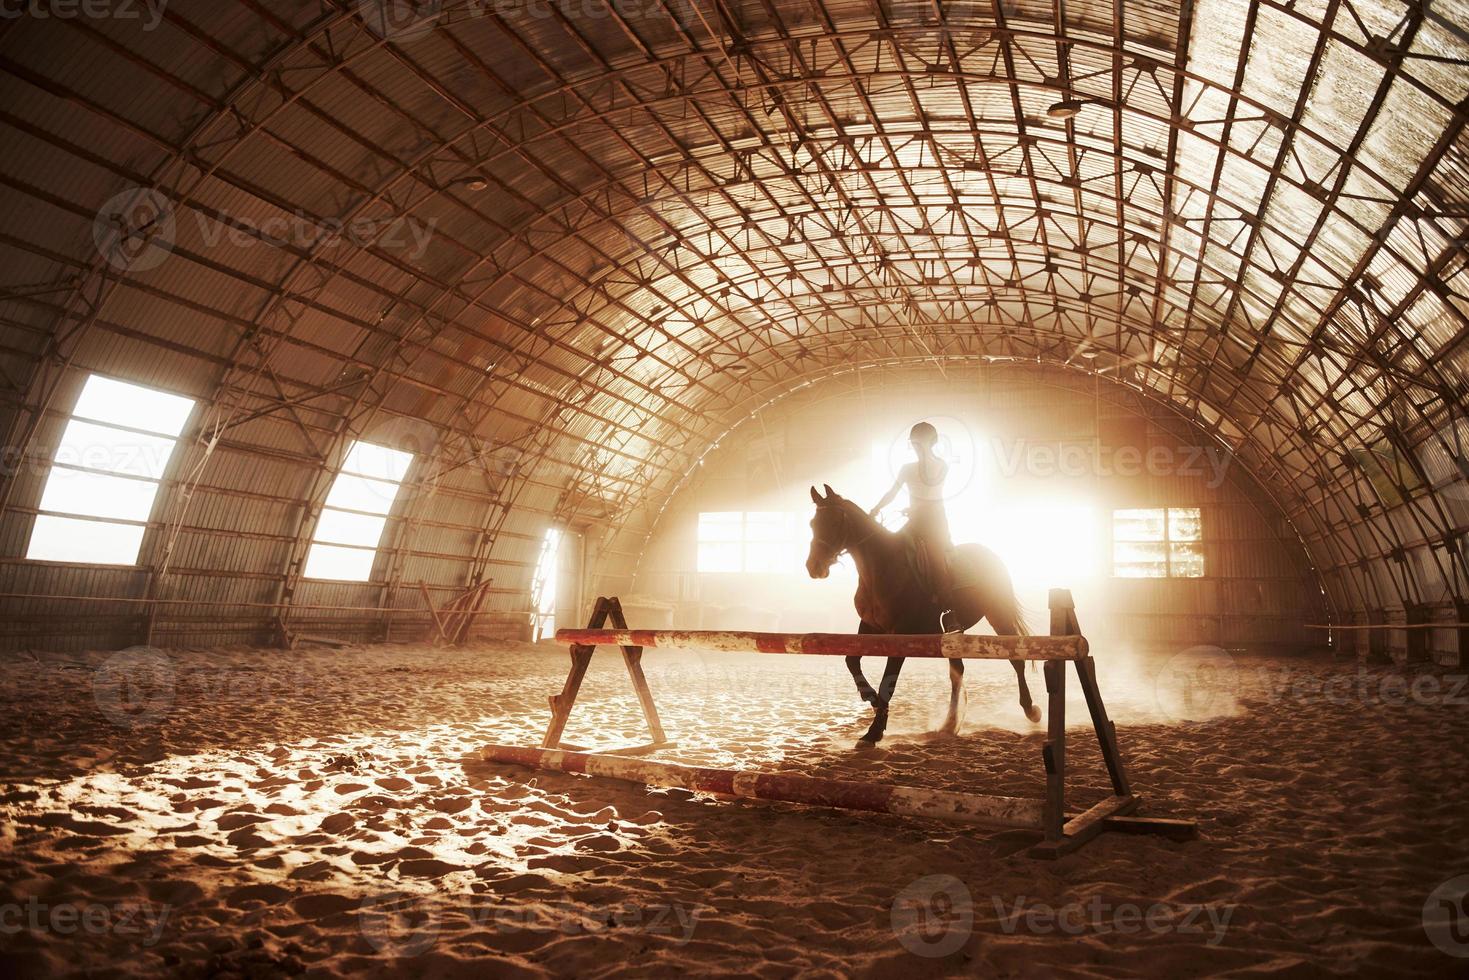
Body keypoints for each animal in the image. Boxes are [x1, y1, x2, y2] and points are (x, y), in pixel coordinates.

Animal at [805, 481, 1045, 743]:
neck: (883, 568)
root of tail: (991, 555)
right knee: (957, 671)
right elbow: (852, 661)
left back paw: (1031, 710)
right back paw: (949, 724)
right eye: (813, 524)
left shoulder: (901, 634)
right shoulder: (869, 625)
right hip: (951, 634)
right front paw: (871, 700)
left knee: (1015, 660)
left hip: (997, 613)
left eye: (835, 522)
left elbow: (888, 683)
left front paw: (874, 730)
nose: (814, 567)